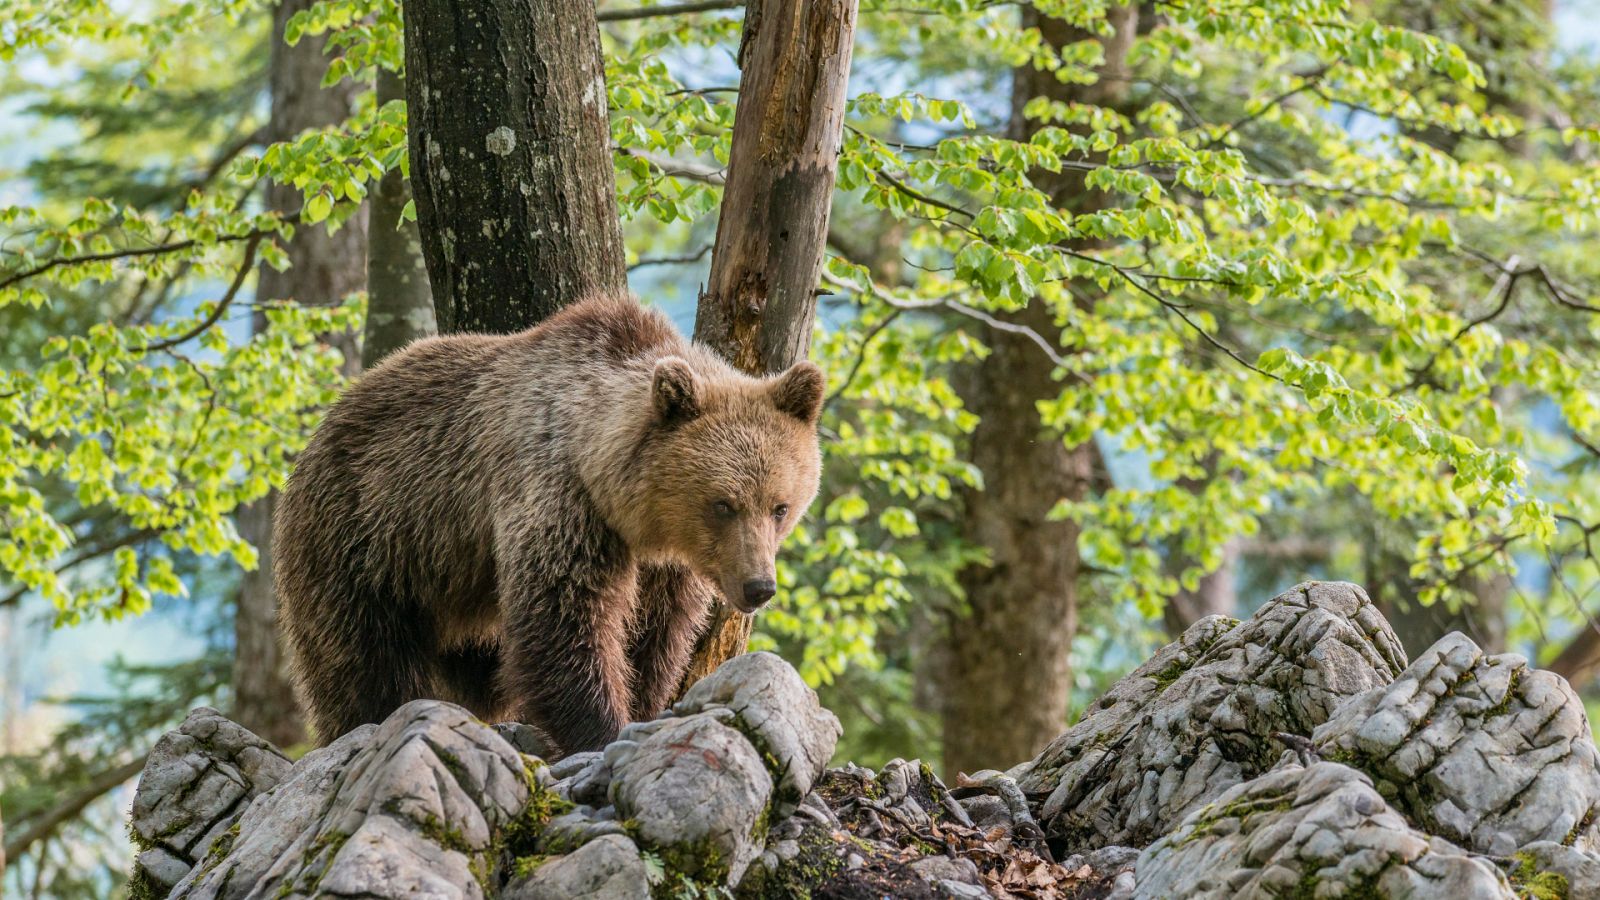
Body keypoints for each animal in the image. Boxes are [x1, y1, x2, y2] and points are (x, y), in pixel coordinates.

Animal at [273, 294, 819, 749]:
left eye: (780, 507)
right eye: (723, 504)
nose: (758, 586)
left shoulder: (666, 565)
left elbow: (655, 635)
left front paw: (645, 705)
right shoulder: (556, 497)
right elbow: (564, 617)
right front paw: (601, 729)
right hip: (366, 539)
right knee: (361, 660)